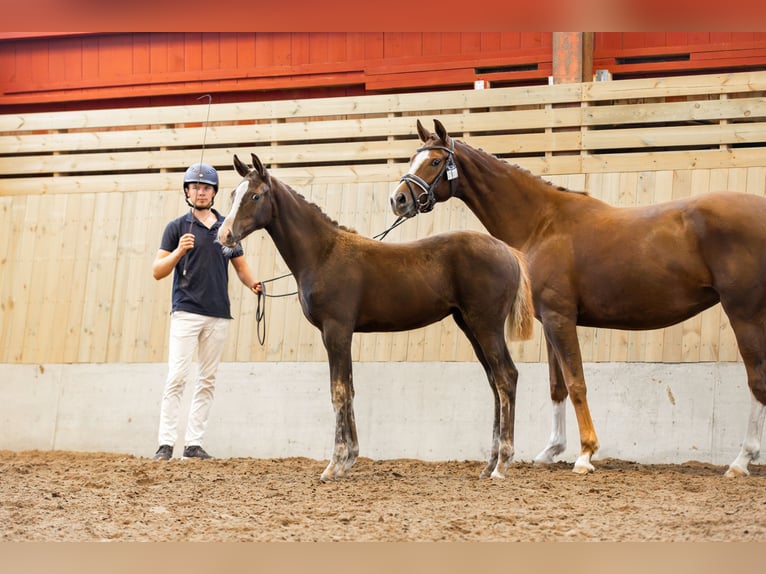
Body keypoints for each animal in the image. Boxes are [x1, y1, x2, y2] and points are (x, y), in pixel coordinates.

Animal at [218, 152, 536, 482]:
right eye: (233, 195)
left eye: (255, 196)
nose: (224, 235)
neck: (323, 253)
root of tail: (508, 251)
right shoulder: (339, 334)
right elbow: (349, 389)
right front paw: (349, 460)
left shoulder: (336, 330)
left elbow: (339, 391)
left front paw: (333, 465)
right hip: (470, 326)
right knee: (494, 382)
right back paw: (489, 464)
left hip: (486, 326)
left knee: (506, 377)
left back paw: (502, 464)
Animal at [392, 119, 766, 480]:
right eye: (412, 158)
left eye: (435, 161)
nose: (398, 200)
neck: (542, 223)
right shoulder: (550, 321)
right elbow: (557, 385)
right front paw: (550, 451)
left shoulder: (561, 318)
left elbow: (576, 383)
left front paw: (585, 454)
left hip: (744, 314)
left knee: (756, 379)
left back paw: (741, 461)